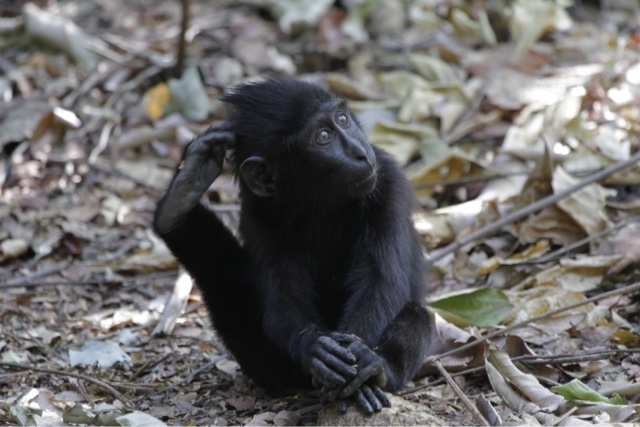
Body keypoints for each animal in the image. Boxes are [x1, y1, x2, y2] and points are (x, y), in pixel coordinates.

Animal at [154, 77, 432, 414]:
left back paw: (379, 370)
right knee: (221, 282)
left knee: (418, 315)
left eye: (342, 119)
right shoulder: (258, 214)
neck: (321, 204)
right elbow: (284, 298)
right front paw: (313, 348)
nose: (359, 152)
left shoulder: (388, 181)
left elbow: (382, 282)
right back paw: (177, 205)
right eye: (323, 137)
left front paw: (363, 358)